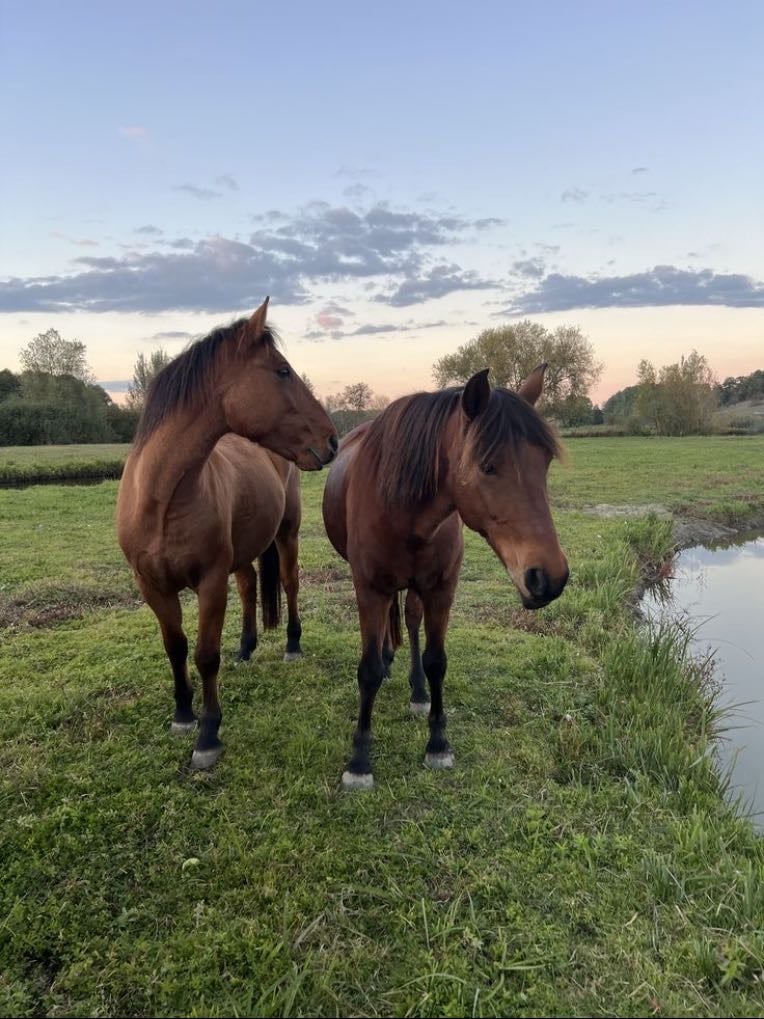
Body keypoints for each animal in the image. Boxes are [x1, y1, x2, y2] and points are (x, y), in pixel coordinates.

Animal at [117, 298, 338, 770]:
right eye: (282, 371)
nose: (332, 440)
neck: (162, 500)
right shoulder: (151, 586)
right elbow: (176, 647)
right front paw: (183, 714)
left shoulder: (210, 583)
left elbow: (205, 655)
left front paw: (208, 735)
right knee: (250, 583)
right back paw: (246, 647)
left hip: (287, 535)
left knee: (288, 583)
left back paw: (291, 645)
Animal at [322, 365, 569, 789]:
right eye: (487, 466)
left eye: (545, 462)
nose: (549, 578)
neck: (402, 511)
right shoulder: (369, 589)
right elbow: (367, 671)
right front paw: (359, 760)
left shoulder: (440, 589)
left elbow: (436, 661)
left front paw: (437, 743)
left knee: (410, 622)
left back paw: (417, 690)